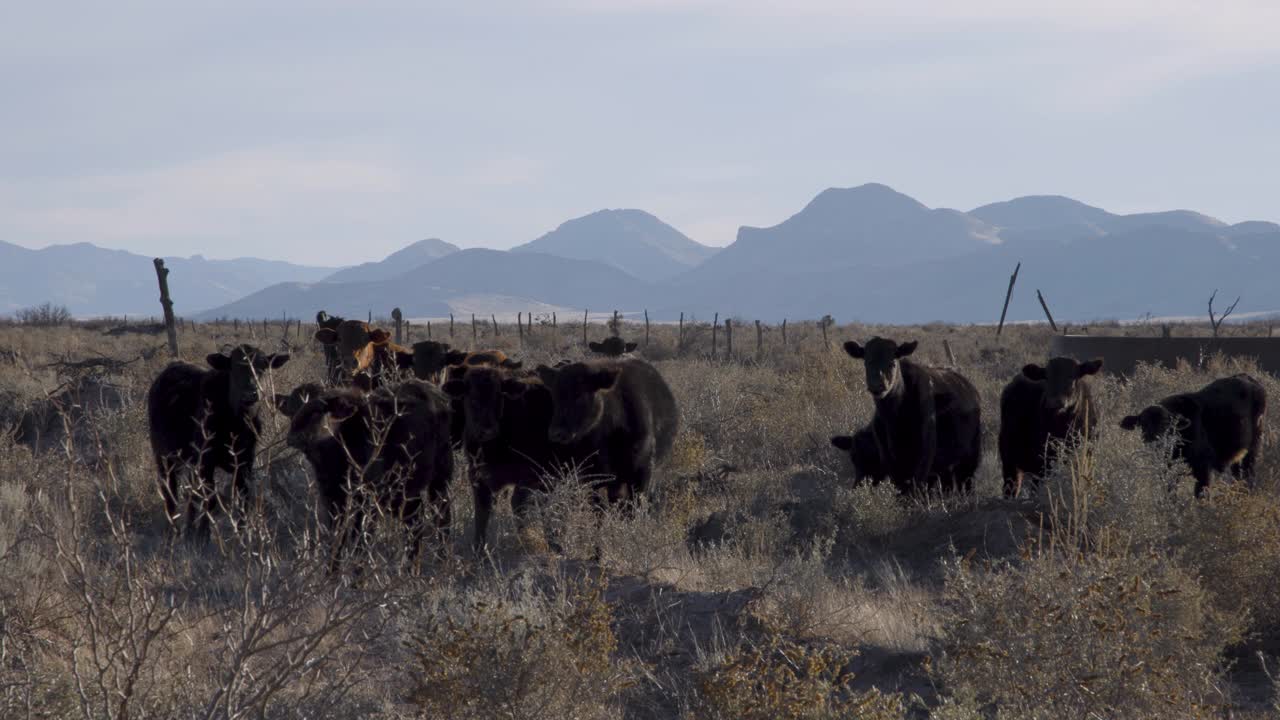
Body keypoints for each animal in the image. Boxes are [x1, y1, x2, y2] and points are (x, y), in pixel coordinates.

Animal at [147, 345, 290, 535]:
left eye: (263, 367)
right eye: (234, 368)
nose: (250, 394)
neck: (236, 423)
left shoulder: (245, 463)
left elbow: (243, 498)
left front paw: (243, 532)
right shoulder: (206, 462)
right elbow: (210, 499)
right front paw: (203, 536)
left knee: (191, 493)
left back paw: (188, 529)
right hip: (164, 458)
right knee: (170, 491)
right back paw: (174, 529)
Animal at [277, 376, 458, 561]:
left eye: (316, 412)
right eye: (292, 411)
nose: (293, 438)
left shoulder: (368, 501)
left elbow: (360, 543)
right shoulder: (332, 500)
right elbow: (336, 543)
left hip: (441, 476)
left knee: (442, 518)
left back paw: (442, 558)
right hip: (406, 493)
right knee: (415, 523)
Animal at [844, 335, 983, 491]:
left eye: (892, 363)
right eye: (866, 362)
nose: (877, 386)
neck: (895, 420)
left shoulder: (924, 458)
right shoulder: (890, 462)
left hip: (969, 460)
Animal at [993, 356, 1105, 497]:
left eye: (1071, 377)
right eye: (1047, 378)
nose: (1055, 402)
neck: (1062, 429)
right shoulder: (1040, 463)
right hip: (1009, 459)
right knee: (1011, 488)